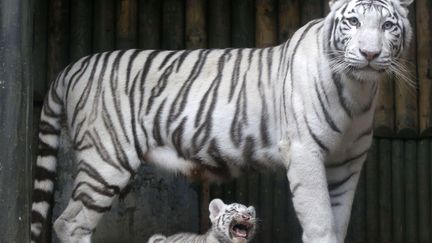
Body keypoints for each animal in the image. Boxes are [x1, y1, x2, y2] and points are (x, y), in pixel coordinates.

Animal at [28, 0, 414, 242]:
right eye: (353, 22)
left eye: (388, 26)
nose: (369, 54)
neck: (358, 88)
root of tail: (71, 66)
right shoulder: (305, 153)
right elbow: (320, 223)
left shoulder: (346, 164)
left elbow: (338, 220)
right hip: (106, 160)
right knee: (69, 223)